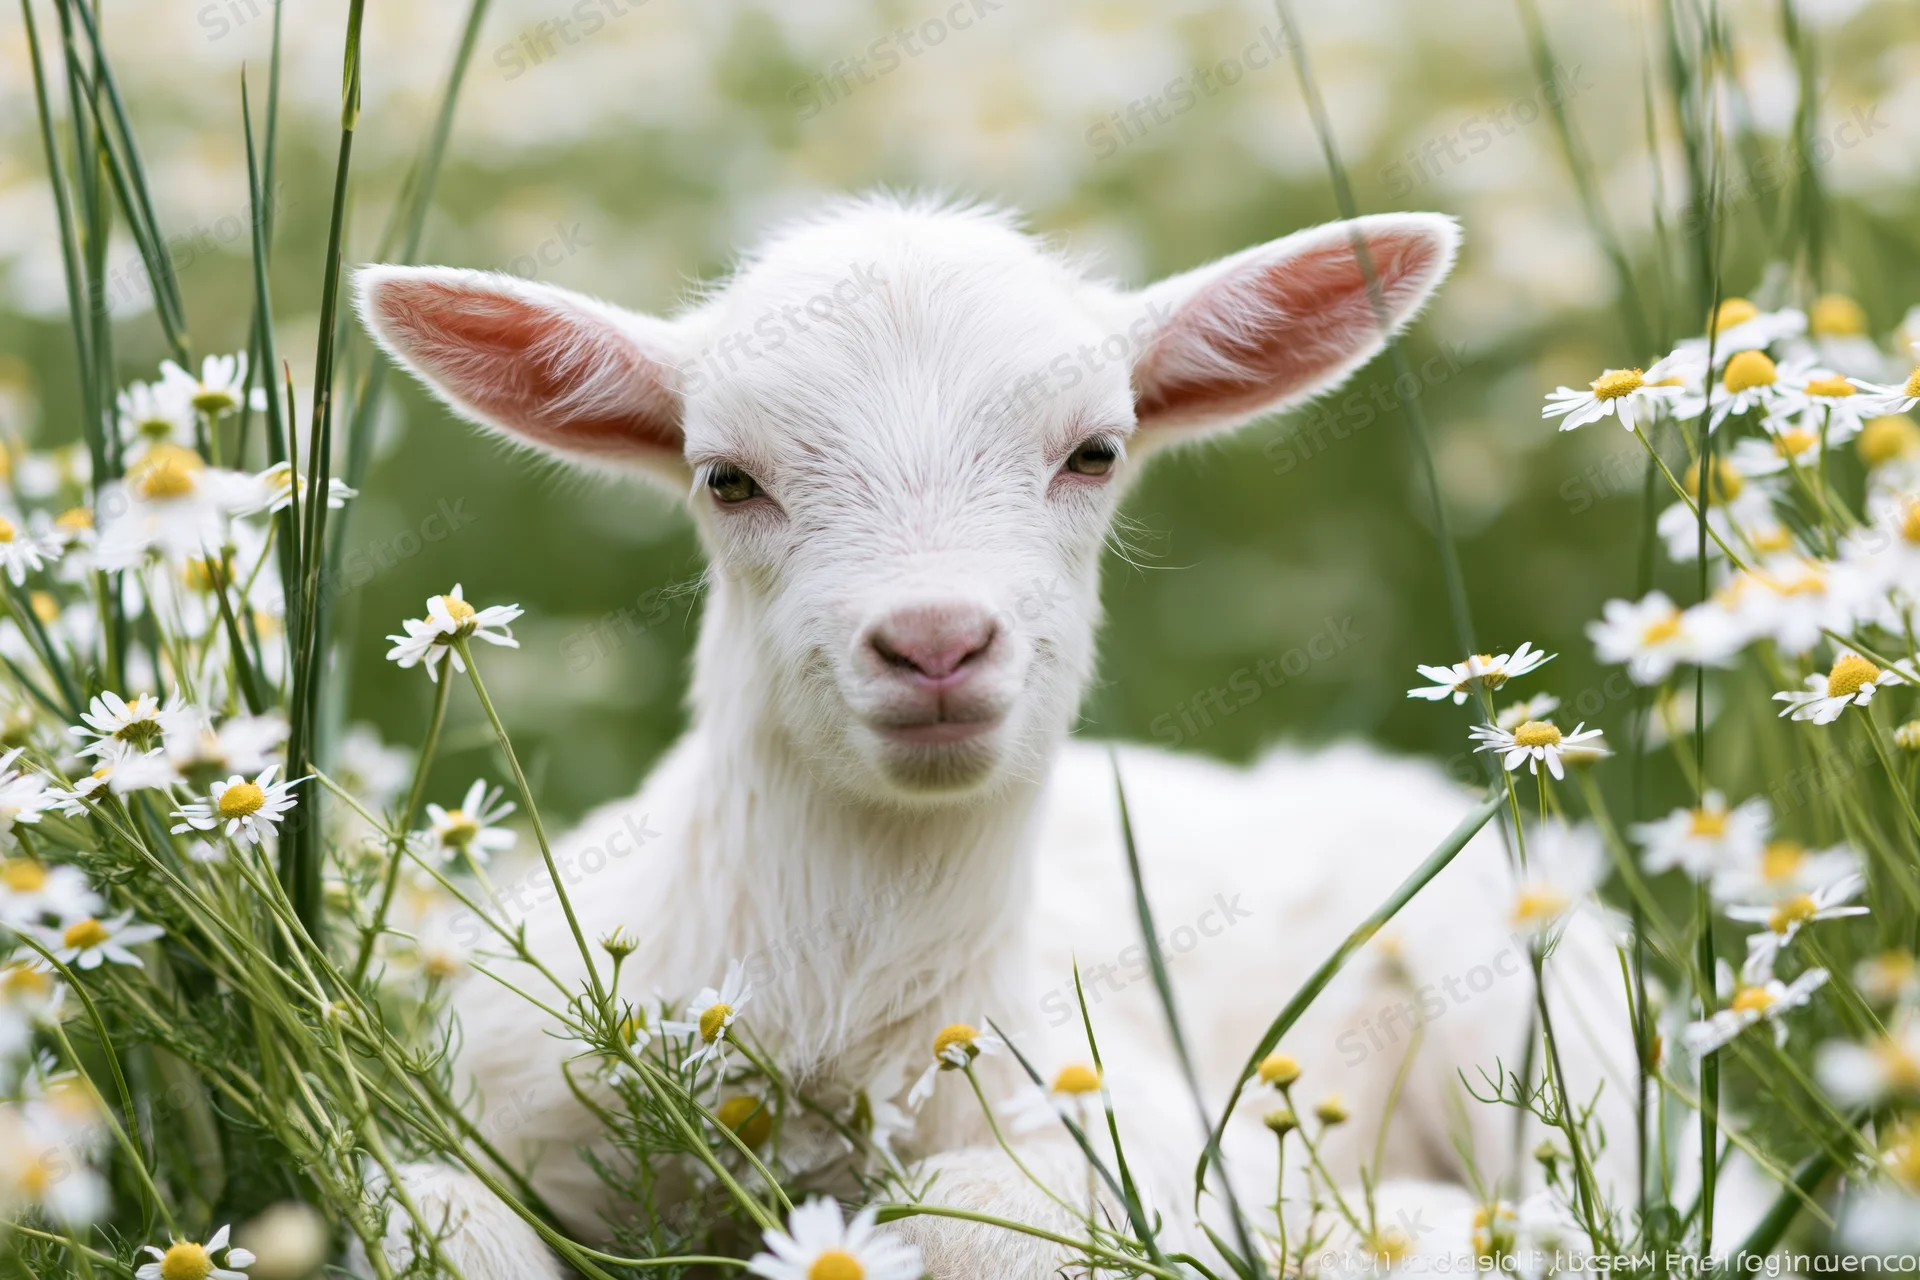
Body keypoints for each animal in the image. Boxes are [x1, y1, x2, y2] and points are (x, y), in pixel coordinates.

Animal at [355, 195, 1643, 1277]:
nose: (935, 641)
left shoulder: (1151, 1137)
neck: (835, 1032)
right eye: (724, 478)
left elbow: (975, 1214)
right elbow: (438, 1216)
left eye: (1095, 452)